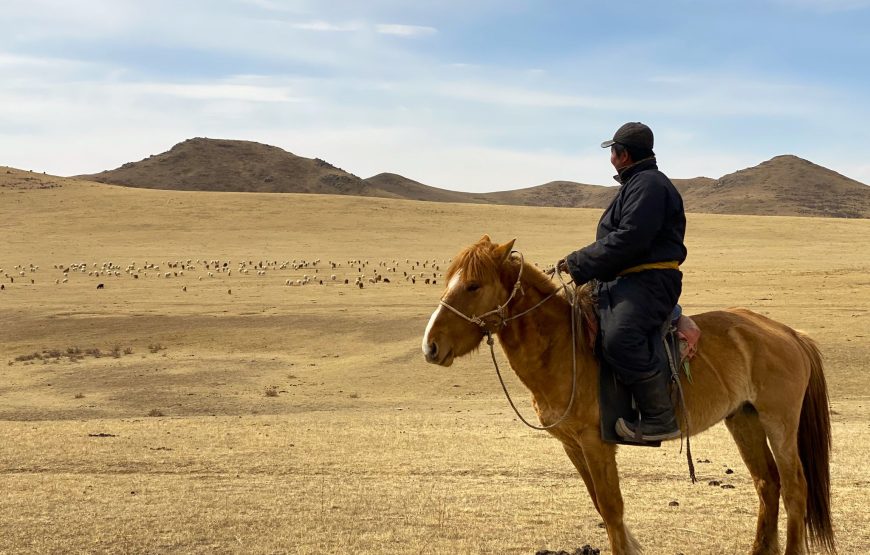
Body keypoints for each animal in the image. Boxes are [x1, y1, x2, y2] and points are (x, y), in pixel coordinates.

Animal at [422, 236, 836, 555]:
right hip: (744, 419)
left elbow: (611, 507)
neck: (564, 348)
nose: (430, 346)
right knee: (768, 484)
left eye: (473, 286)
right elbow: (600, 505)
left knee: (795, 488)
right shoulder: (572, 444)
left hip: (779, 421)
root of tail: (789, 333)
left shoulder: (596, 442)